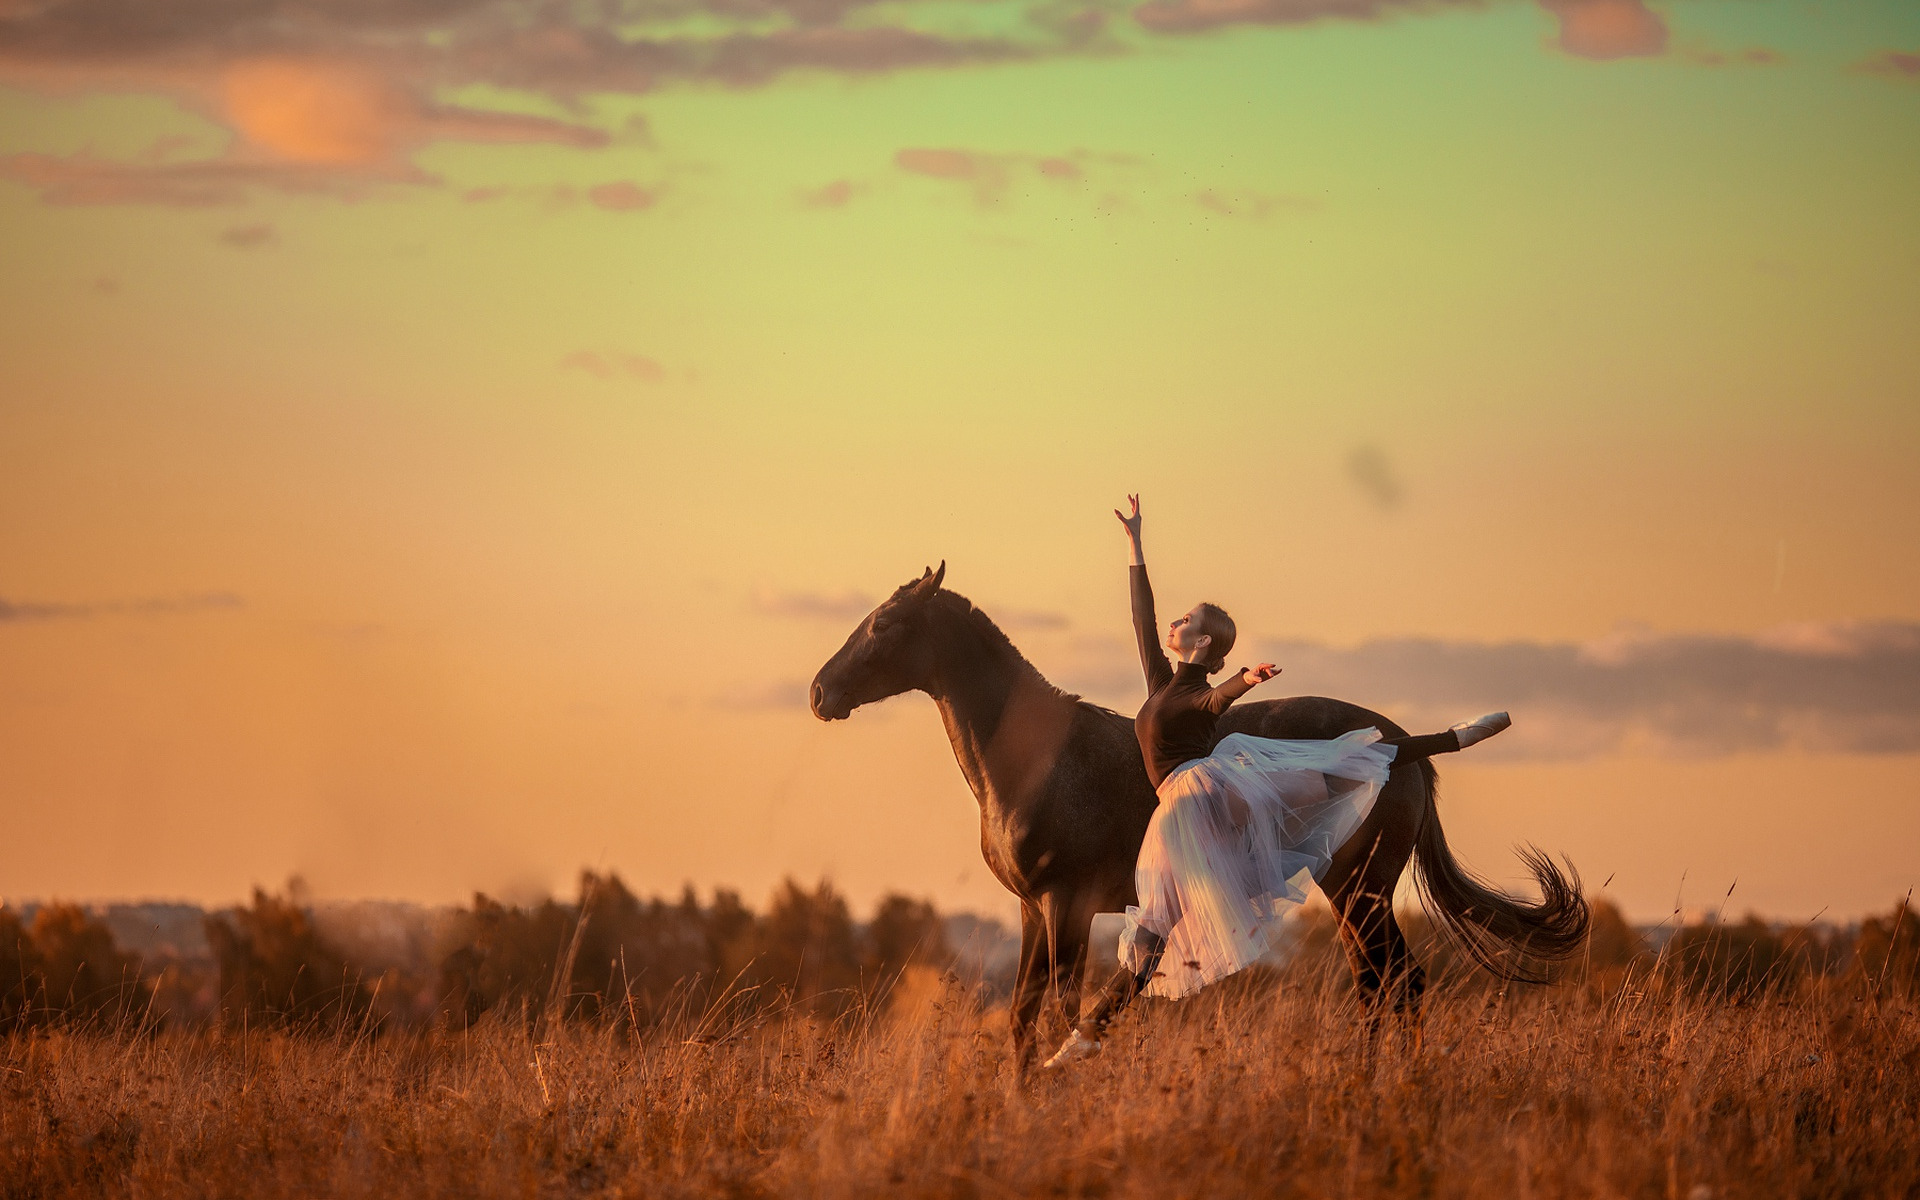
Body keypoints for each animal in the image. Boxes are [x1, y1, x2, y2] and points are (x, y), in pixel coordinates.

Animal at [810, 564, 1589, 1067]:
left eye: (885, 623)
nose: (820, 692)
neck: (1038, 759)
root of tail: (1403, 744)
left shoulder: (1067, 904)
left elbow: (1062, 1011)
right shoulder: (1032, 909)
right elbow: (1023, 1019)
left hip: (1359, 889)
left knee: (1391, 983)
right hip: (1352, 894)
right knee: (1387, 983)